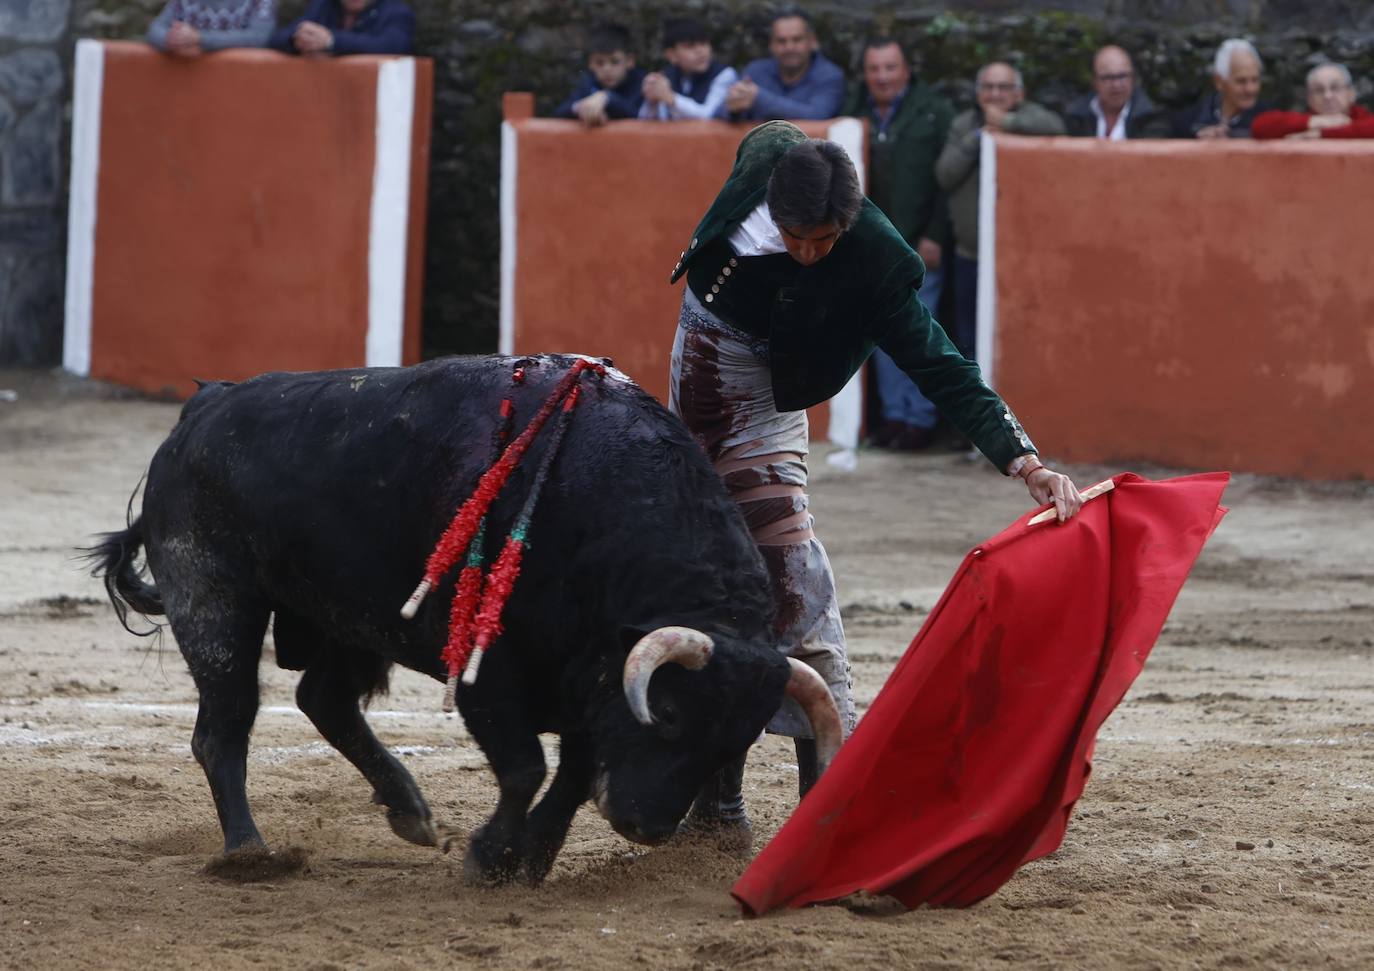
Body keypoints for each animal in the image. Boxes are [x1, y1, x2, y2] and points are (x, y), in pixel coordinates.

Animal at [88, 354, 835, 878]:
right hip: (214, 602)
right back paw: (249, 850)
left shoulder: (588, 686)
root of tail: (203, 405)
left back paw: (410, 812)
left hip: (347, 618)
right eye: (672, 714)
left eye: (736, 743)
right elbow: (527, 768)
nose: (644, 827)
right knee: (223, 727)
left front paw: (526, 859)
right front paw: (491, 856)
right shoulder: (489, 668)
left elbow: (570, 775)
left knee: (323, 699)